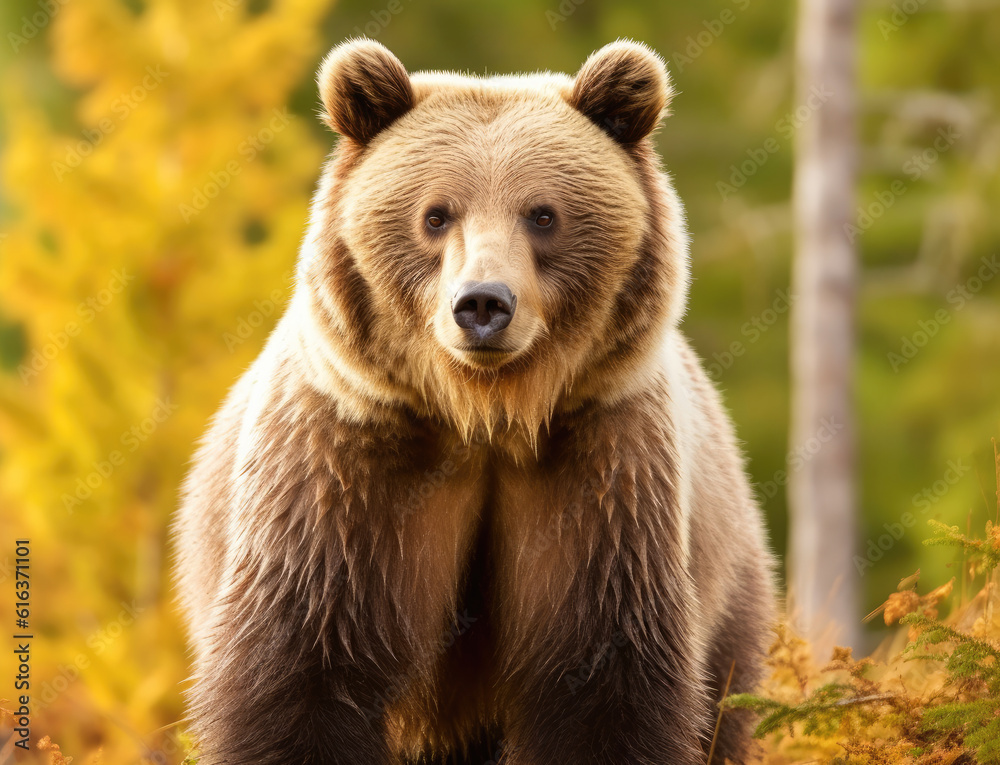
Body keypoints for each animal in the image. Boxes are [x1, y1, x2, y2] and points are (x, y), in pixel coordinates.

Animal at [174, 38, 776, 765]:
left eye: (543, 213)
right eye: (436, 214)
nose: (484, 303)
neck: (483, 414)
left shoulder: (601, 477)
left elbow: (602, 689)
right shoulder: (344, 473)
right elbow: (300, 674)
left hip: (727, 582)